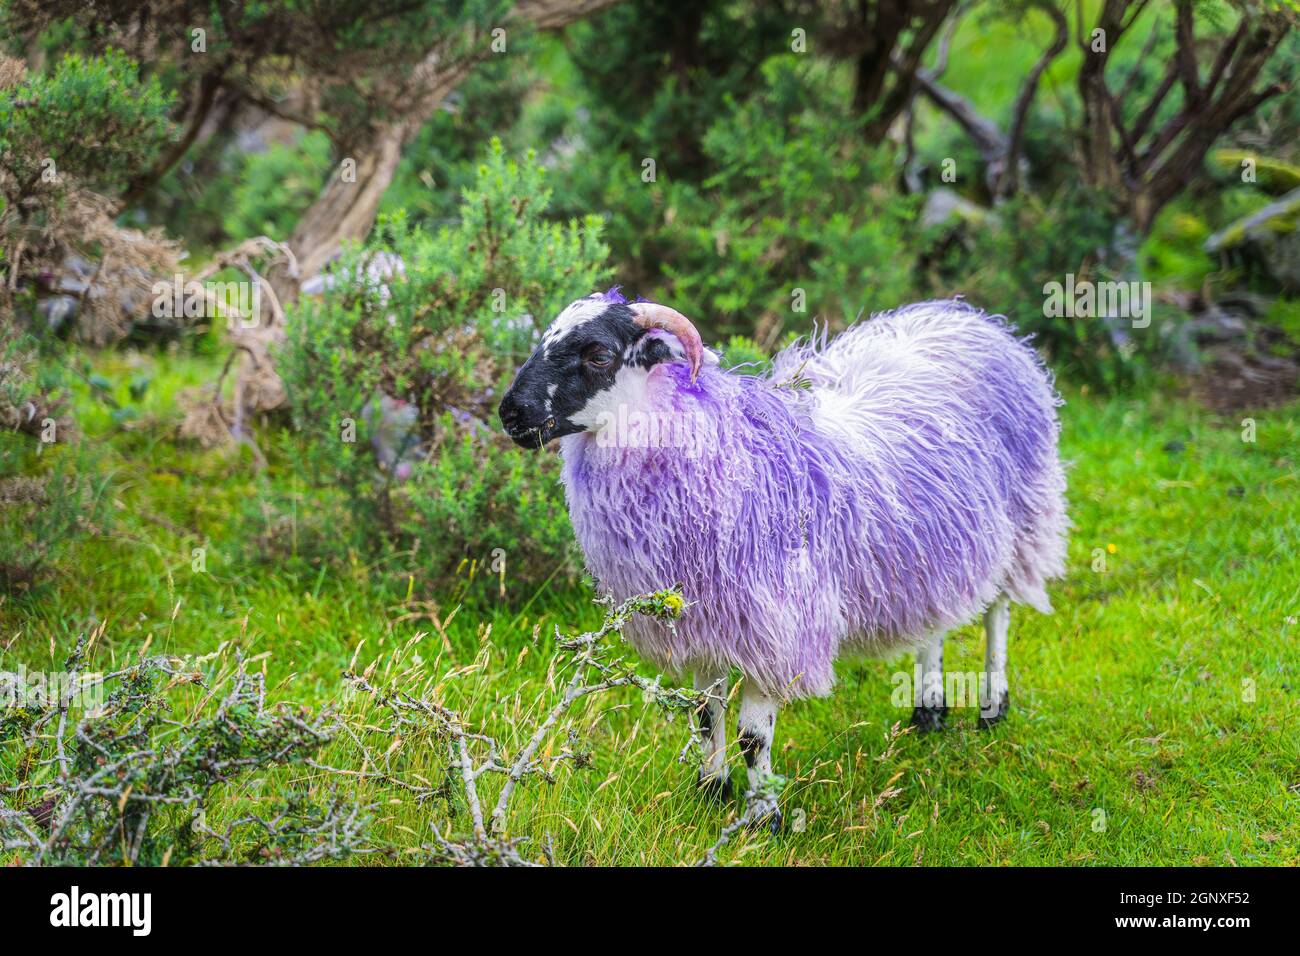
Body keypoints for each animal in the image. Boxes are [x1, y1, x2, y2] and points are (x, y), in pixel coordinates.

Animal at [496, 290, 1066, 816]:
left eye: (598, 354)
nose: (510, 413)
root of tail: (969, 318)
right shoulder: (707, 625)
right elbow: (706, 715)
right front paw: (710, 792)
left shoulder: (776, 626)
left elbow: (753, 737)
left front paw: (760, 817)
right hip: (934, 548)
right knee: (937, 619)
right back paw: (928, 710)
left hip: (1022, 524)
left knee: (997, 613)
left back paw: (992, 706)